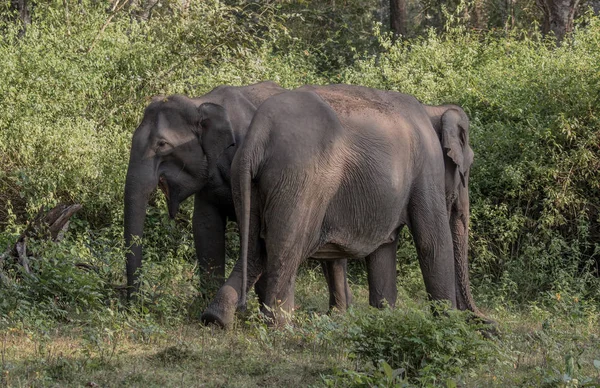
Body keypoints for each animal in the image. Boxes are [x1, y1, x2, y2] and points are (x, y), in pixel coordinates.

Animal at [200, 85, 482, 328]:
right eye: (466, 170)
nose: (483, 323)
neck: (432, 108)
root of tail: (258, 134)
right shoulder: (427, 166)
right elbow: (432, 241)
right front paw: (448, 324)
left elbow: (384, 248)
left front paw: (384, 319)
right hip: (300, 180)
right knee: (286, 247)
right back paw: (280, 326)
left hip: (247, 181)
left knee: (255, 248)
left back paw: (216, 318)